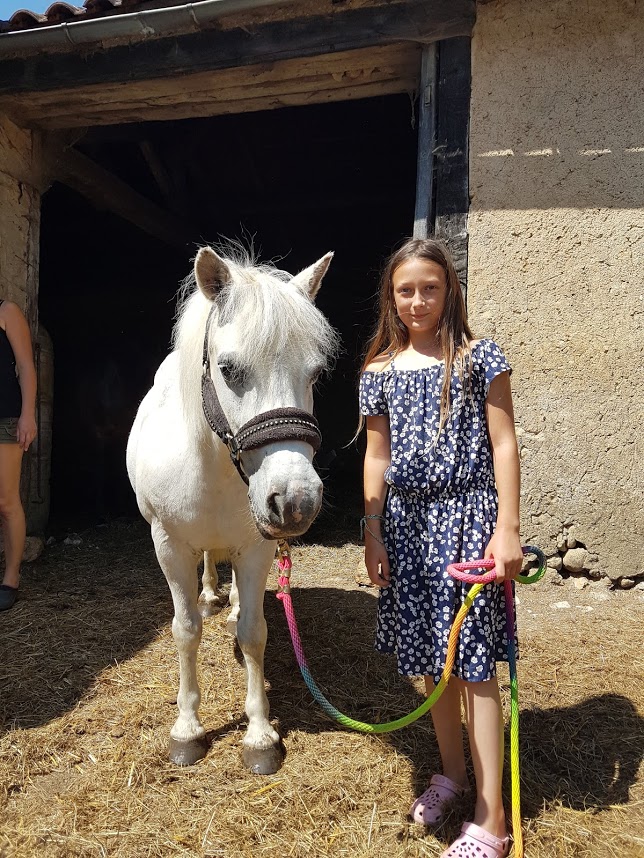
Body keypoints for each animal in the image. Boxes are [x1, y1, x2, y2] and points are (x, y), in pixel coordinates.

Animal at [126, 244, 338, 772]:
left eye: (315, 373)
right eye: (229, 369)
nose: (296, 501)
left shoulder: (257, 547)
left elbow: (253, 632)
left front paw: (259, 735)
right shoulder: (169, 545)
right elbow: (185, 631)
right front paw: (187, 728)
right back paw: (208, 594)